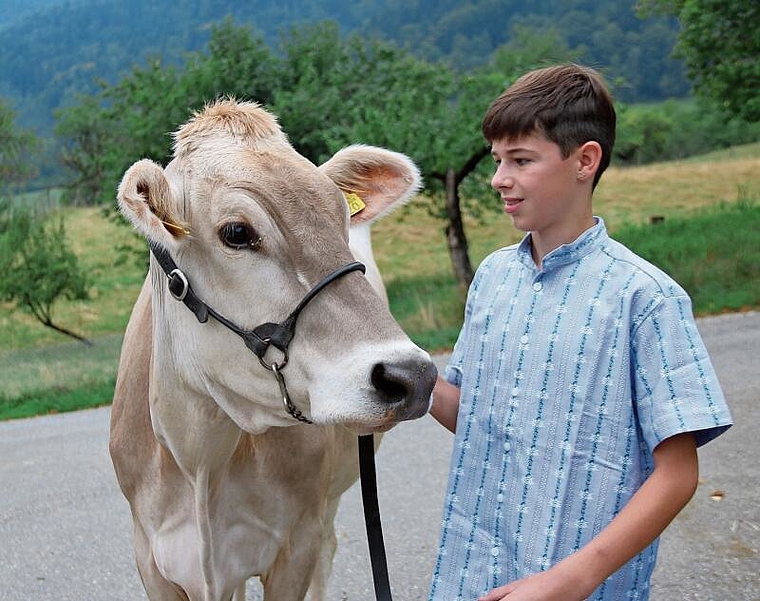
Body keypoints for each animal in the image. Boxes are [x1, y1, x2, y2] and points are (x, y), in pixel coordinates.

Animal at [110, 99, 436, 600]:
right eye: (237, 232)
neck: (198, 457)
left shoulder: (295, 543)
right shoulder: (151, 557)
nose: (411, 375)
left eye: (341, 218)